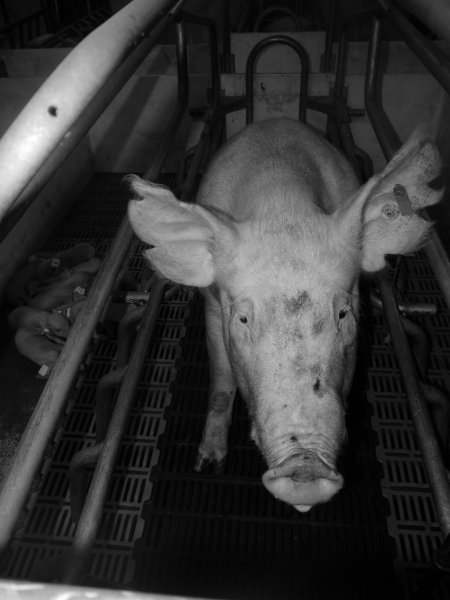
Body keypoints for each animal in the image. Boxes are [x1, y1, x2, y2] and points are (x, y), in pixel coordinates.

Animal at [127, 118, 442, 510]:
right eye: (243, 319)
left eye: (342, 314)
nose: (304, 463)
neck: (282, 202)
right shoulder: (213, 307)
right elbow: (221, 384)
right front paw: (208, 465)